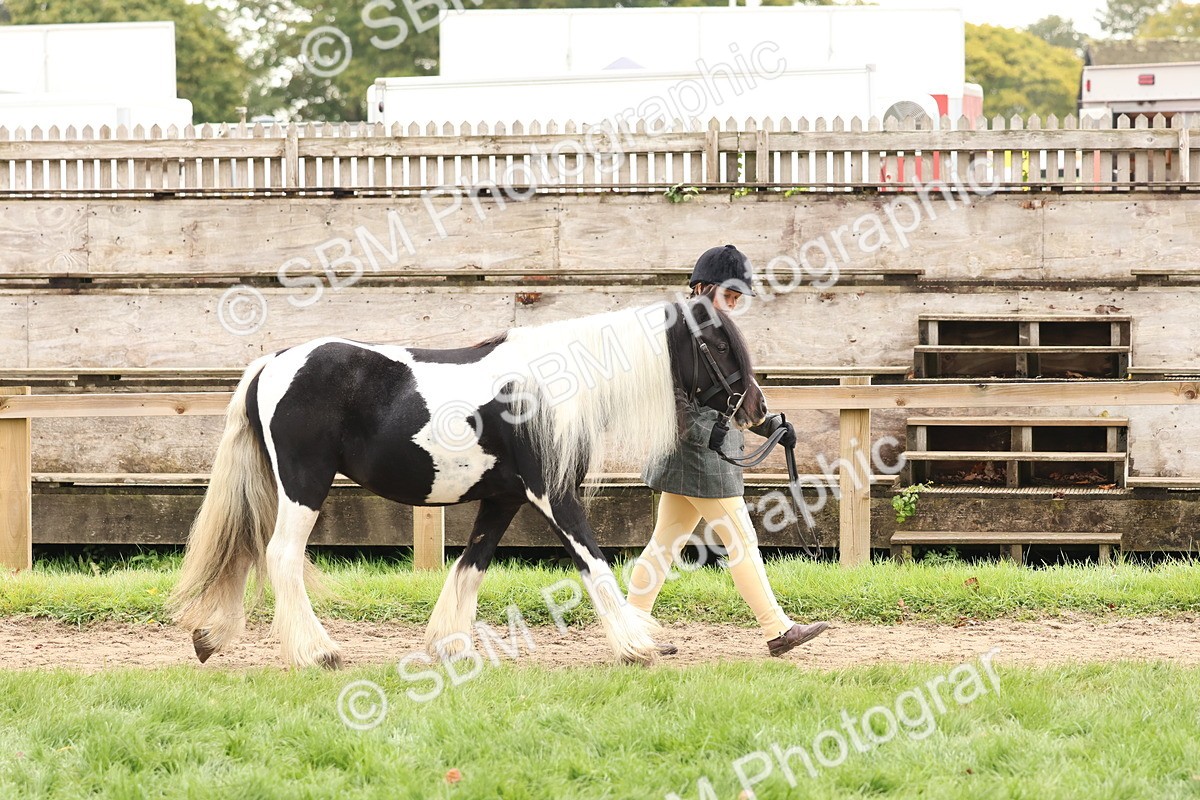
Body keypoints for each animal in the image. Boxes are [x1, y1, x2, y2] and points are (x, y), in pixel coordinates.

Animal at [168, 298, 767, 668]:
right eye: (719, 345)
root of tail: (272, 363)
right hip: (304, 486)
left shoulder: (502, 500)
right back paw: (318, 652)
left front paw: (448, 646)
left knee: (249, 552)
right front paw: (636, 644)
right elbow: (594, 563)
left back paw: (212, 637)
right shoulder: (554, 496)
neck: (552, 387)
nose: (758, 411)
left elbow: (471, 566)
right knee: (281, 556)